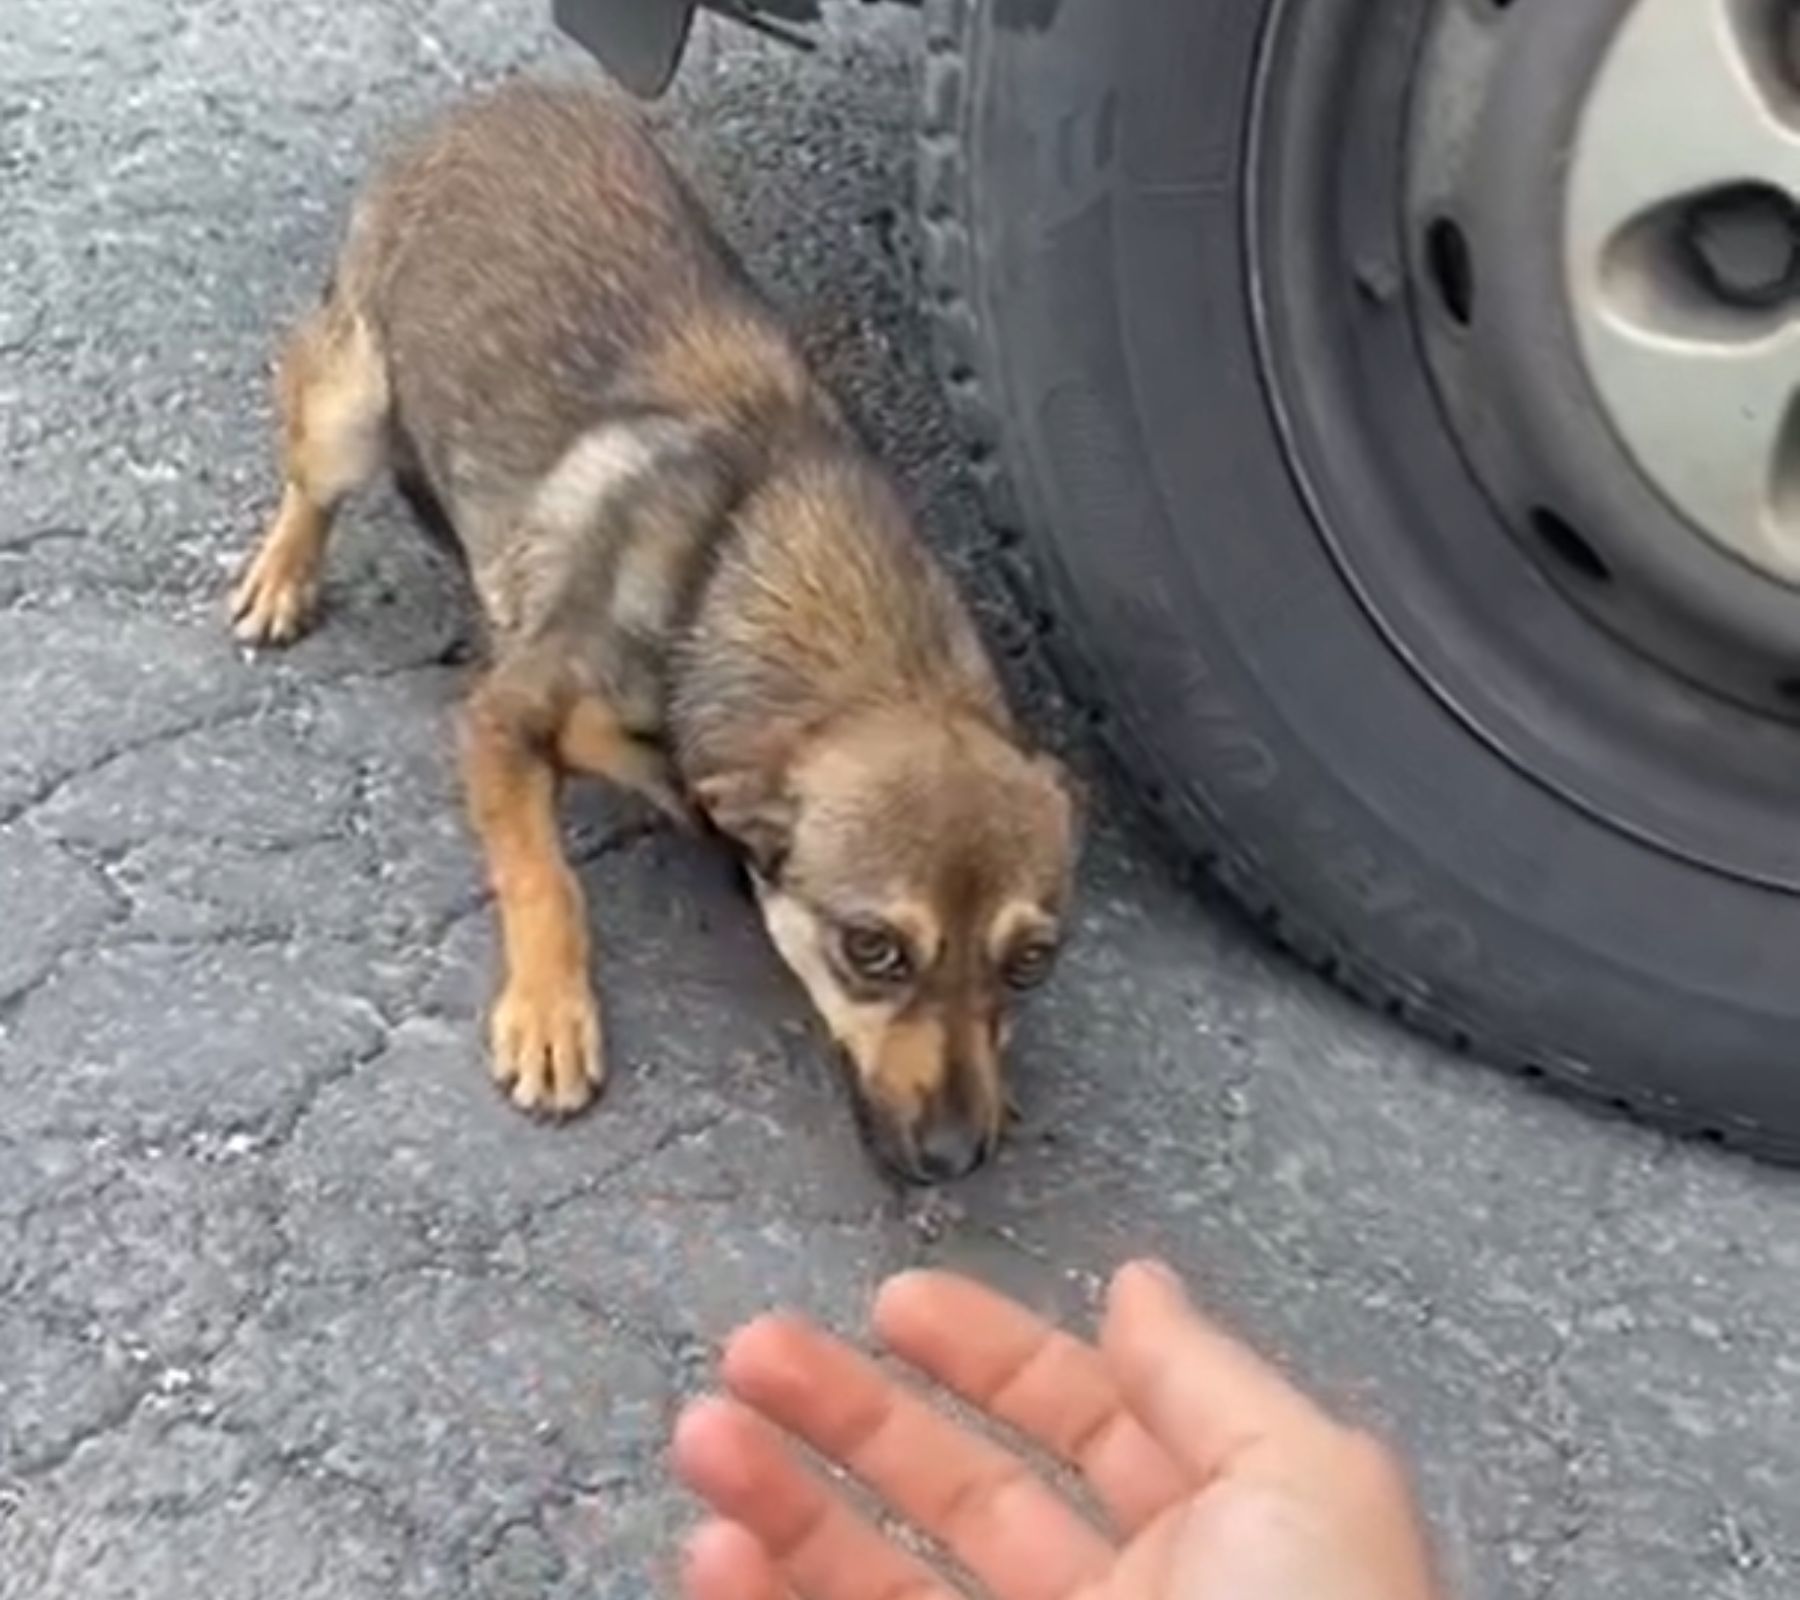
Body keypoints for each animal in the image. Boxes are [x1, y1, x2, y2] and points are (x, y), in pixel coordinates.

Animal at [237, 80, 1080, 1180]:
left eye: (1030, 963)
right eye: (873, 949)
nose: (953, 1157)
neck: (736, 562)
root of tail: (495, 96)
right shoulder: (506, 718)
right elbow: (546, 880)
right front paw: (551, 1014)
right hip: (354, 409)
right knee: (313, 485)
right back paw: (281, 577)